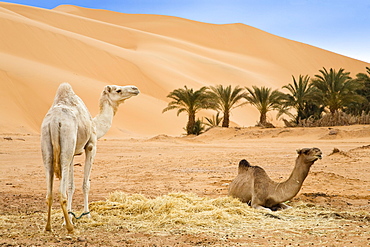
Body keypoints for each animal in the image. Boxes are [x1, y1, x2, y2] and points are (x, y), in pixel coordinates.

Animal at [40, 82, 139, 233]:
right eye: (118, 90)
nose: (135, 89)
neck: (96, 125)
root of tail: (55, 121)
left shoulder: (73, 152)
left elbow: (71, 185)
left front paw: (68, 216)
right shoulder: (91, 146)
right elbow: (85, 184)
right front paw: (86, 215)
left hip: (48, 146)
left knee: (49, 191)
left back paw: (48, 227)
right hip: (67, 142)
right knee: (61, 192)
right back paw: (70, 227)